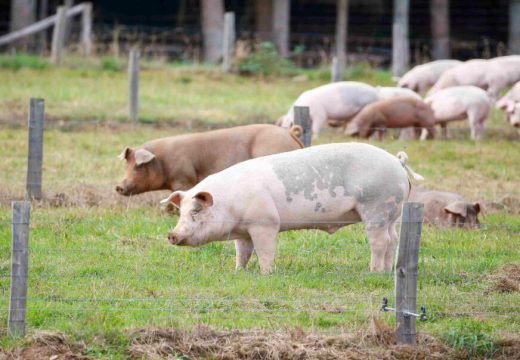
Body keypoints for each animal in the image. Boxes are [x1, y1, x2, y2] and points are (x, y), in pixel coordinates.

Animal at [116, 124, 302, 197]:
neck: (163, 161)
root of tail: (289, 133)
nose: (118, 186)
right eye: (126, 165)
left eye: (137, 167)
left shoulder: (184, 178)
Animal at [162, 143, 422, 272]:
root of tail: (397, 161)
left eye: (196, 211)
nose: (172, 234)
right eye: (181, 212)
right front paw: (238, 271)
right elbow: (242, 252)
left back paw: (373, 271)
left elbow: (265, 251)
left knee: (380, 241)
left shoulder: (265, 222)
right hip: (391, 212)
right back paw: (387, 270)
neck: (231, 202)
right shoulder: (244, 231)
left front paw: (266, 273)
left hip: (375, 206)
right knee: (393, 239)